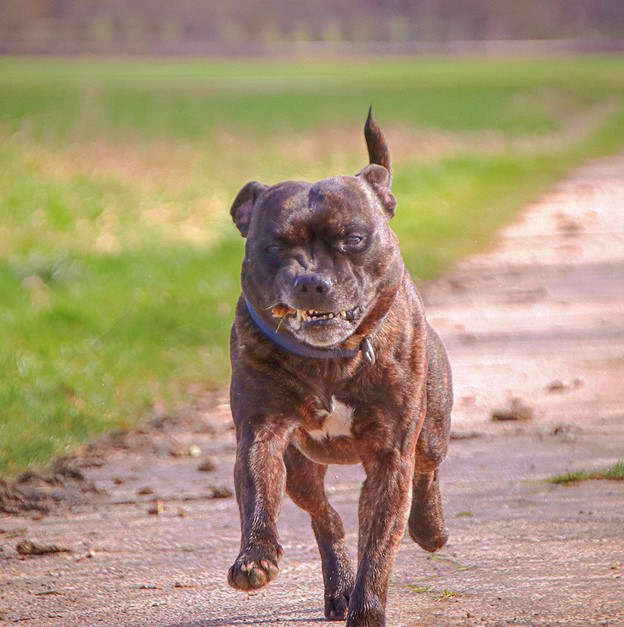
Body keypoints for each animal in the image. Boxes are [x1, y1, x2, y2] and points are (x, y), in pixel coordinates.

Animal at [227, 110, 450, 624]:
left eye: (353, 239)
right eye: (273, 246)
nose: (311, 280)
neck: (332, 359)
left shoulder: (391, 457)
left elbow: (380, 547)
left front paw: (367, 611)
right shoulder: (260, 431)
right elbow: (256, 490)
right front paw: (254, 557)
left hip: (430, 433)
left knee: (426, 473)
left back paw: (429, 530)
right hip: (301, 469)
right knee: (325, 517)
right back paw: (337, 586)